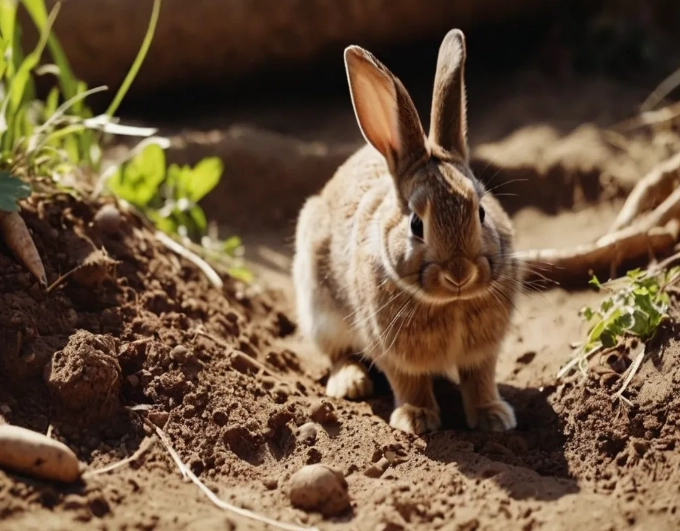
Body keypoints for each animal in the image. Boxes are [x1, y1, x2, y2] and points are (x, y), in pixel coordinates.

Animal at [292, 28, 519, 435]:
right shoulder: (389, 349)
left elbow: (480, 379)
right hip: (318, 307)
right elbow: (408, 382)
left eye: (480, 212)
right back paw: (351, 384)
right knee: (338, 354)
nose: (460, 273)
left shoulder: (483, 354)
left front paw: (494, 417)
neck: (450, 303)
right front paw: (416, 420)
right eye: (416, 224)